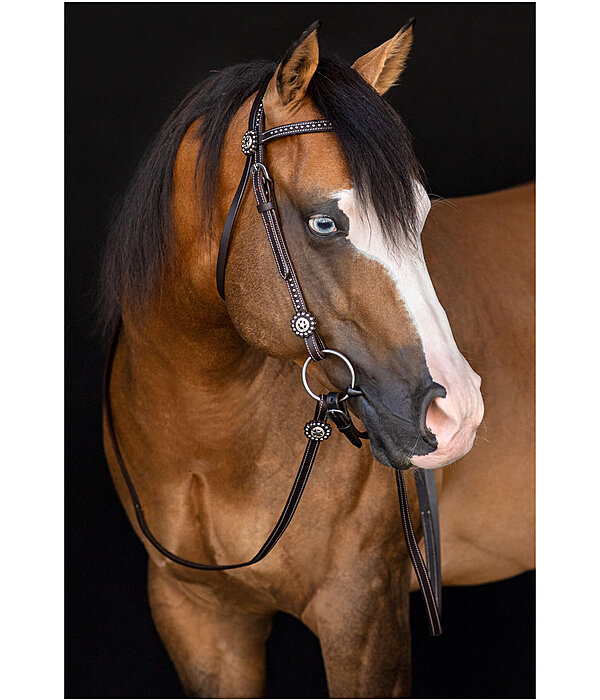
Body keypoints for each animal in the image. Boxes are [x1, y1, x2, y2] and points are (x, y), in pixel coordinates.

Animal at [99, 19, 536, 696]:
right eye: (325, 223)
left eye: (419, 215)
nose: (456, 413)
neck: (206, 439)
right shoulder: (199, 618)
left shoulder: (362, 616)